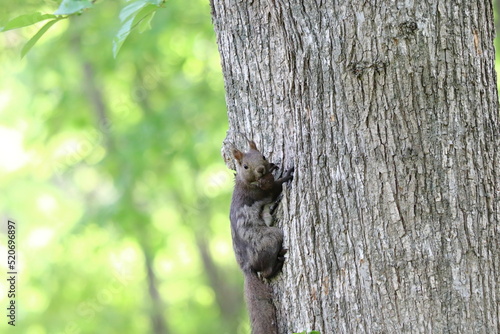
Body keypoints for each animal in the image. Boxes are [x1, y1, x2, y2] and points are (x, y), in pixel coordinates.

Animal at [229, 140, 294, 334]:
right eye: (245, 166)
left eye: (263, 156)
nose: (261, 170)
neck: (245, 181)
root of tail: (247, 267)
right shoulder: (263, 191)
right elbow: (277, 186)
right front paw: (287, 174)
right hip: (270, 239)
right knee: (266, 272)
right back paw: (278, 263)